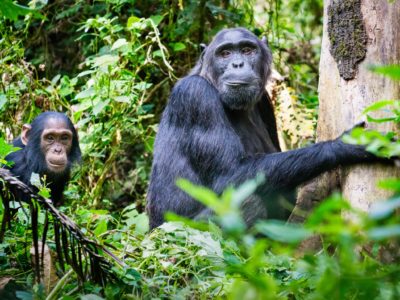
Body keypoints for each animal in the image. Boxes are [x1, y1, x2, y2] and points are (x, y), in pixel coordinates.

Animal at [146, 28, 382, 230]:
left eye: (247, 50)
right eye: (225, 53)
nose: (237, 64)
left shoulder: (265, 103)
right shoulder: (195, 97)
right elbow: (230, 174)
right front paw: (347, 145)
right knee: (248, 201)